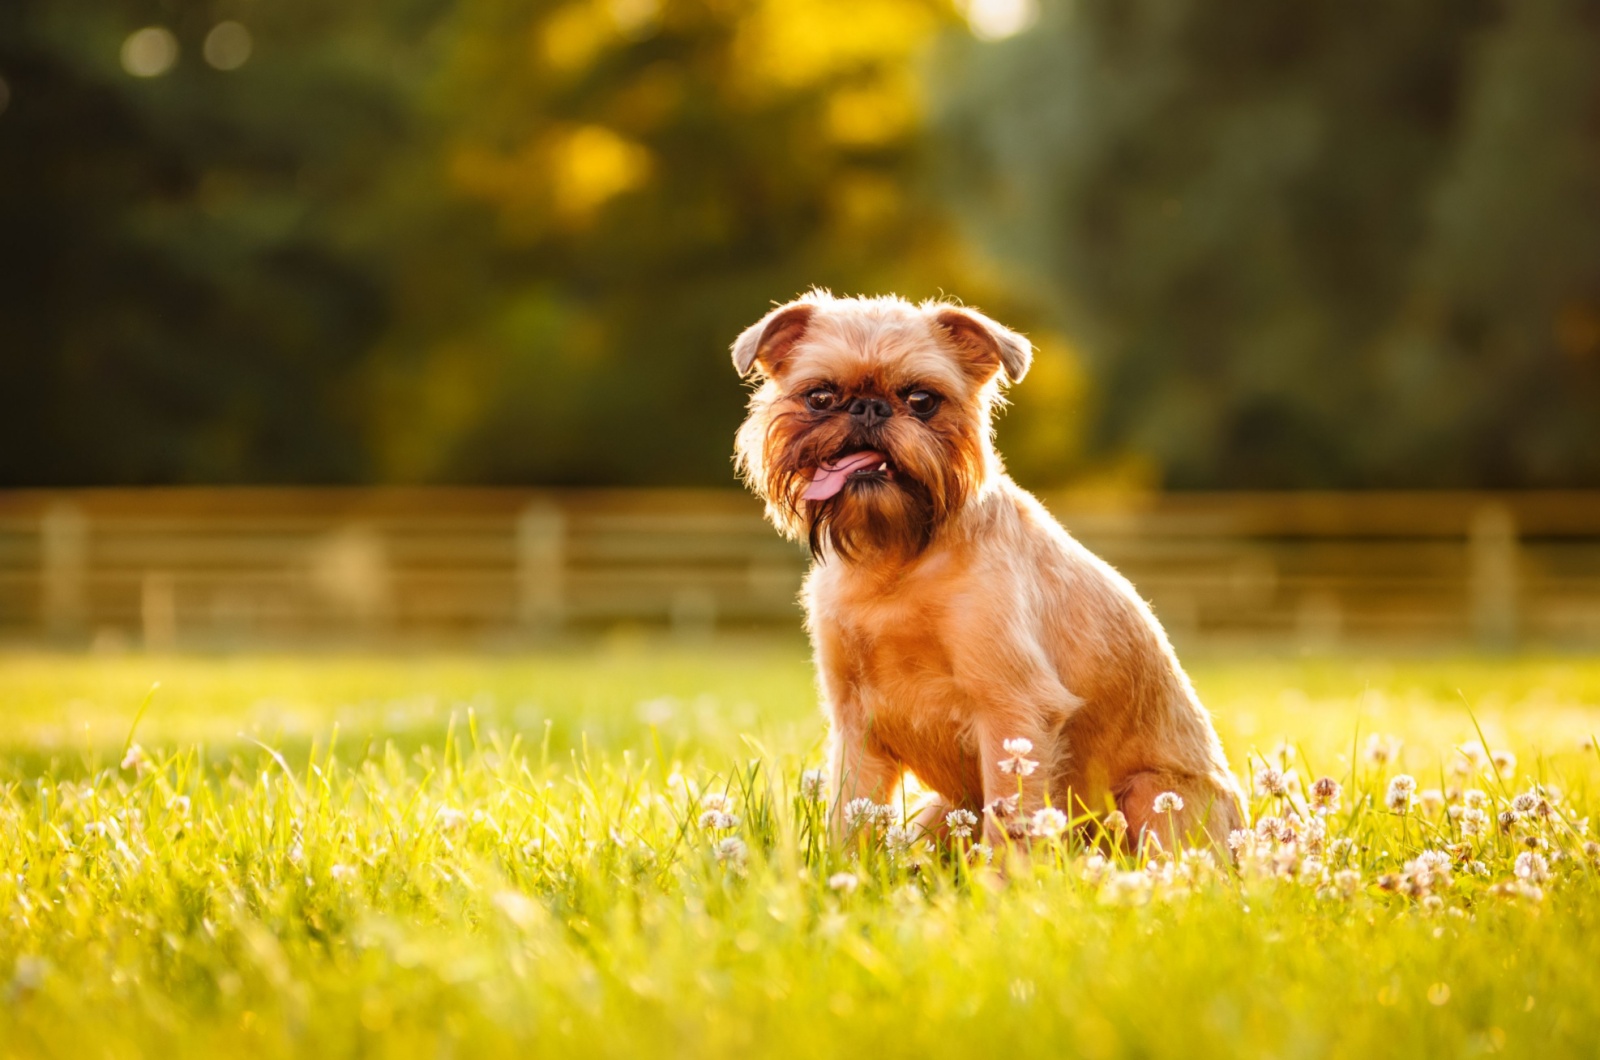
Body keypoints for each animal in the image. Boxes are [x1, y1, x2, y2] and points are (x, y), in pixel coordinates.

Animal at [732, 293, 1241, 858]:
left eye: (923, 400)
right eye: (819, 397)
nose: (868, 407)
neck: (896, 559)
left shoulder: (1013, 713)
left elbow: (1009, 827)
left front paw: (1004, 881)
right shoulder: (855, 727)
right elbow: (850, 818)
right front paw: (845, 874)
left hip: (1153, 796)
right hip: (944, 810)